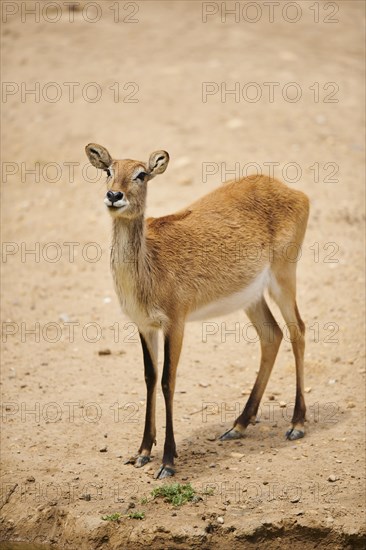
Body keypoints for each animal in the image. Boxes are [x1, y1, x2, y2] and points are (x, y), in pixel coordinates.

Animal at [85, 142, 308, 478]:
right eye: (109, 170)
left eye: (141, 174)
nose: (114, 195)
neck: (149, 267)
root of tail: (293, 191)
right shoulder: (145, 326)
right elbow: (149, 378)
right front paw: (142, 451)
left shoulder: (175, 323)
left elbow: (168, 381)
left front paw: (168, 461)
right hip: (252, 297)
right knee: (272, 335)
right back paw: (237, 426)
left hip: (283, 277)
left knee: (298, 331)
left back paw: (296, 424)